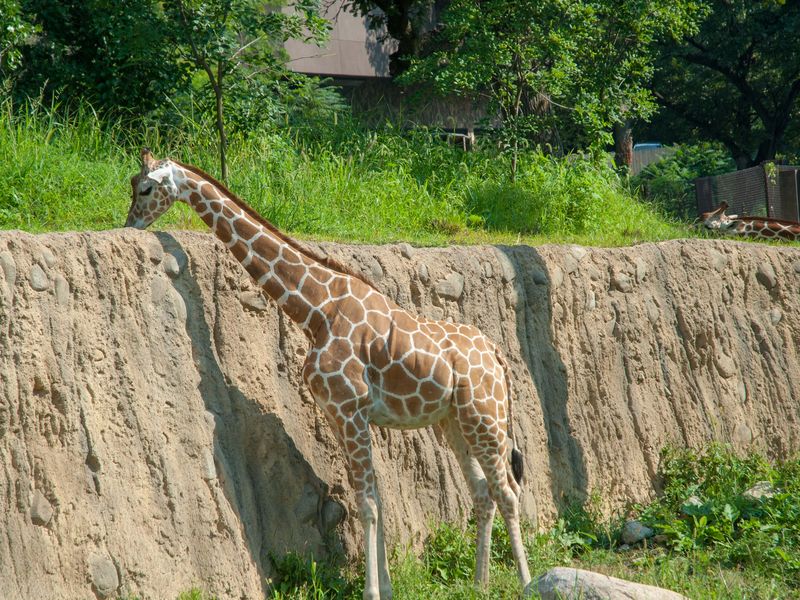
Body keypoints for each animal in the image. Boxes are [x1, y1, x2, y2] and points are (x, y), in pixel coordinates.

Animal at [126, 146, 532, 600]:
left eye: (145, 188)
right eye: (132, 185)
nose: (129, 224)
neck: (315, 309)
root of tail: (498, 355)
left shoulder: (351, 408)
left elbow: (368, 504)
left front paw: (372, 591)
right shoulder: (338, 414)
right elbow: (373, 499)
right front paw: (386, 586)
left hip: (486, 416)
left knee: (508, 491)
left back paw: (526, 581)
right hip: (454, 422)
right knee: (482, 492)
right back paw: (480, 583)